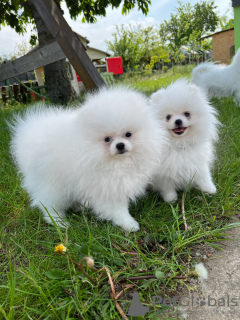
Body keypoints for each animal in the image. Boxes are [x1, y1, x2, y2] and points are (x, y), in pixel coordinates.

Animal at [8, 87, 165, 231]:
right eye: (107, 139)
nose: (120, 145)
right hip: (54, 185)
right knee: (48, 204)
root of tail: (29, 136)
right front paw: (129, 224)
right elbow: (117, 210)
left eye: (128, 134)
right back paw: (59, 222)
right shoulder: (106, 188)